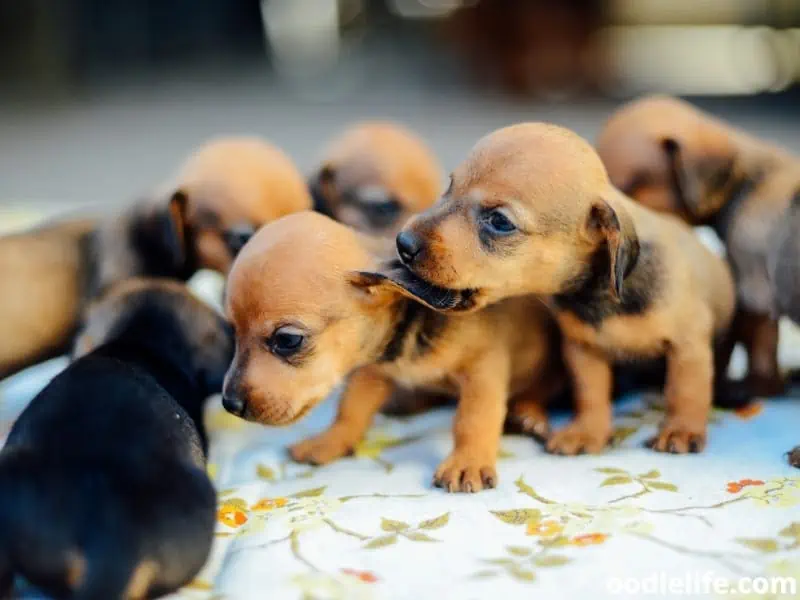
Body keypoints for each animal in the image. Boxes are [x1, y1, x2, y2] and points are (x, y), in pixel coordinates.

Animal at [222, 211, 564, 492]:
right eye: (232, 330)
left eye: (288, 340)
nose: (230, 404)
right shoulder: (372, 372)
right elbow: (351, 408)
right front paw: (330, 441)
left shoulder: (482, 369)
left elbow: (474, 418)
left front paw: (467, 462)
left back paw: (528, 415)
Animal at [396, 124, 736, 458]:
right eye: (449, 186)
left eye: (500, 222)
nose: (403, 244)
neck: (598, 294)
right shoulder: (583, 351)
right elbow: (591, 395)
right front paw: (587, 432)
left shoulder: (687, 346)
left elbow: (685, 392)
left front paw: (681, 430)